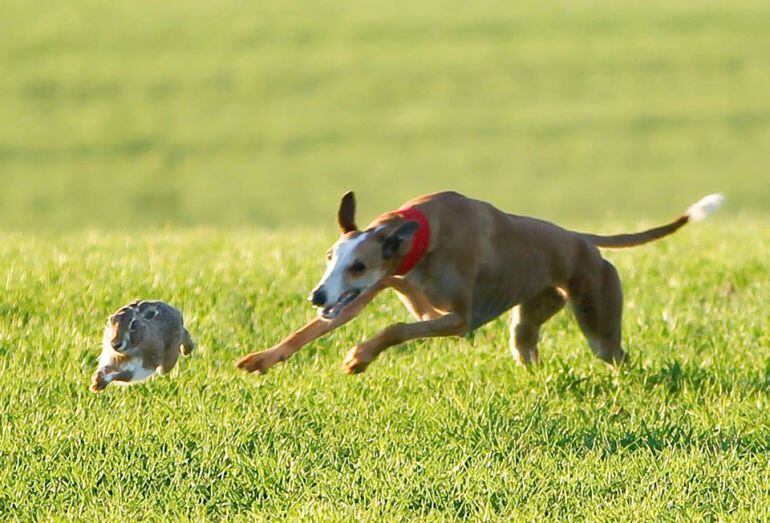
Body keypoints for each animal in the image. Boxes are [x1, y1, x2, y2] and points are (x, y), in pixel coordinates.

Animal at [237, 190, 724, 374]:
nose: (317, 294)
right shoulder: (386, 289)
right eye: (330, 258)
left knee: (616, 354)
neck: (421, 232)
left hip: (598, 319)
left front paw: (359, 357)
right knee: (527, 347)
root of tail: (582, 240)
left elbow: (397, 327)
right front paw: (265, 357)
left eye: (358, 266)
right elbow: (315, 329)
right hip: (529, 321)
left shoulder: (458, 320)